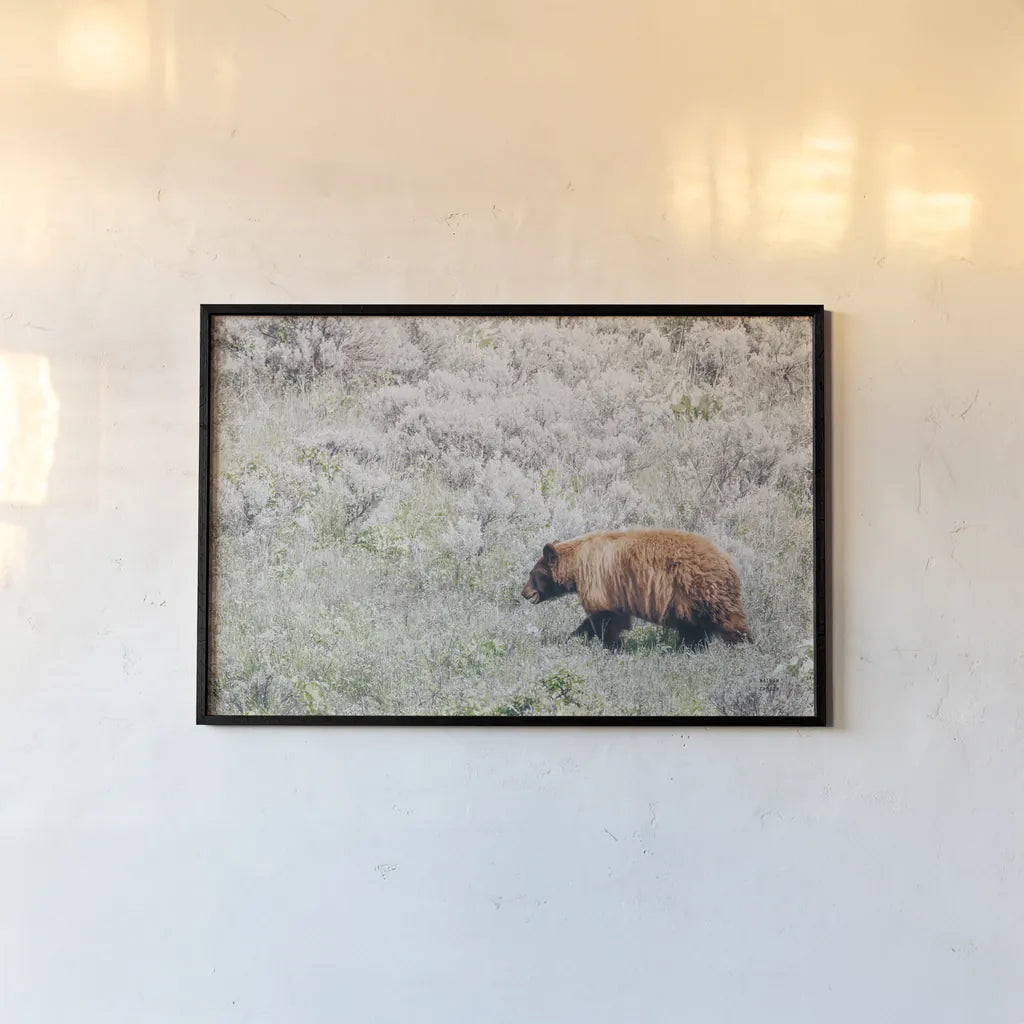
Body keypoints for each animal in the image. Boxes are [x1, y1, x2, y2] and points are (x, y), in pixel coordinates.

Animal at [521, 529, 751, 650]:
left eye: (533, 574)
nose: (524, 593)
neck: (578, 563)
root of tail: (729, 562)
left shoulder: (599, 580)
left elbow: (605, 619)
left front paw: (611, 646)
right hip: (688, 601)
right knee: (693, 628)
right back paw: (688, 649)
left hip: (699, 587)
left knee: (727, 619)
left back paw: (742, 646)